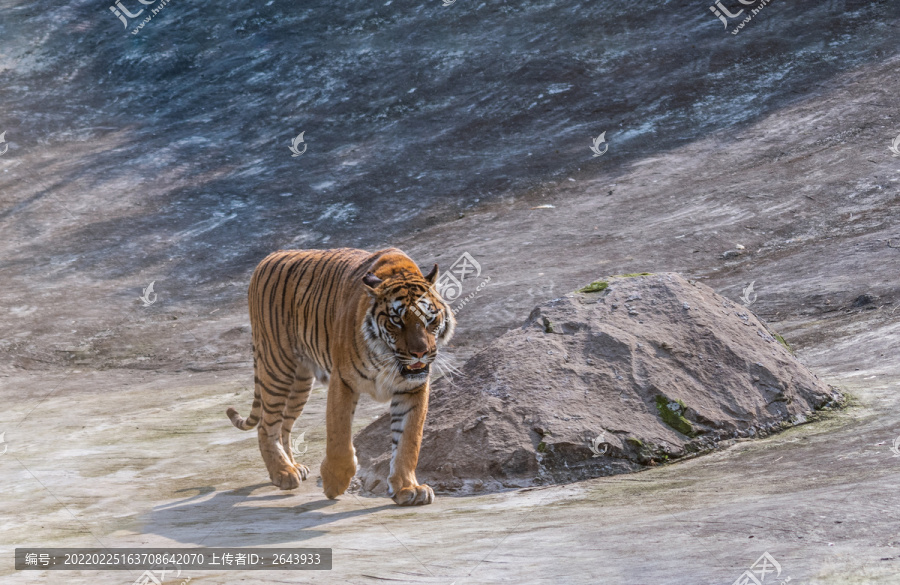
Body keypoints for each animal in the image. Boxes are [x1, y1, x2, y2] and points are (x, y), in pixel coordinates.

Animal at [222, 246, 454, 506]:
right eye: (397, 320)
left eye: (430, 319)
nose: (420, 353)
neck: (389, 359)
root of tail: (268, 257)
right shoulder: (343, 380)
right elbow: (339, 436)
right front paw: (334, 483)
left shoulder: (413, 388)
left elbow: (408, 442)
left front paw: (408, 488)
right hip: (277, 367)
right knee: (266, 425)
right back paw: (283, 472)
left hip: (299, 384)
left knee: (284, 425)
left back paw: (293, 466)